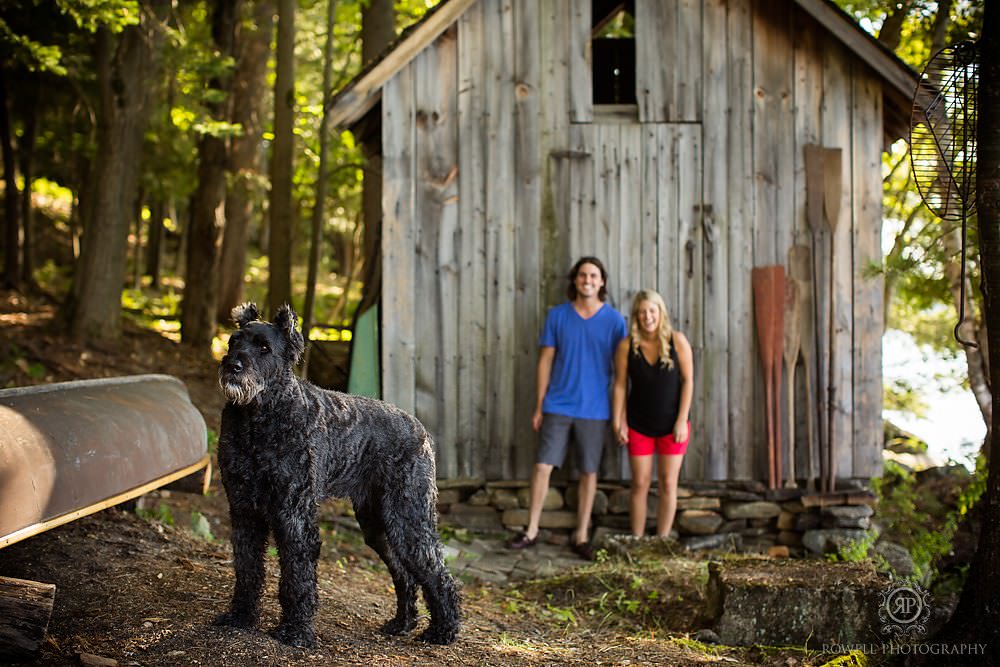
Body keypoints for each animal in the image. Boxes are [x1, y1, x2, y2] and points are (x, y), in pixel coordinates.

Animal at [214, 302, 460, 648]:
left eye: (264, 348)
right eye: (234, 341)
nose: (233, 365)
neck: (258, 418)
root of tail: (421, 430)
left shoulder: (294, 514)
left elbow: (297, 577)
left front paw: (297, 632)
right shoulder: (244, 510)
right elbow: (247, 569)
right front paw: (241, 617)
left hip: (409, 517)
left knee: (436, 570)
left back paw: (443, 630)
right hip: (378, 525)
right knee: (404, 573)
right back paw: (402, 623)